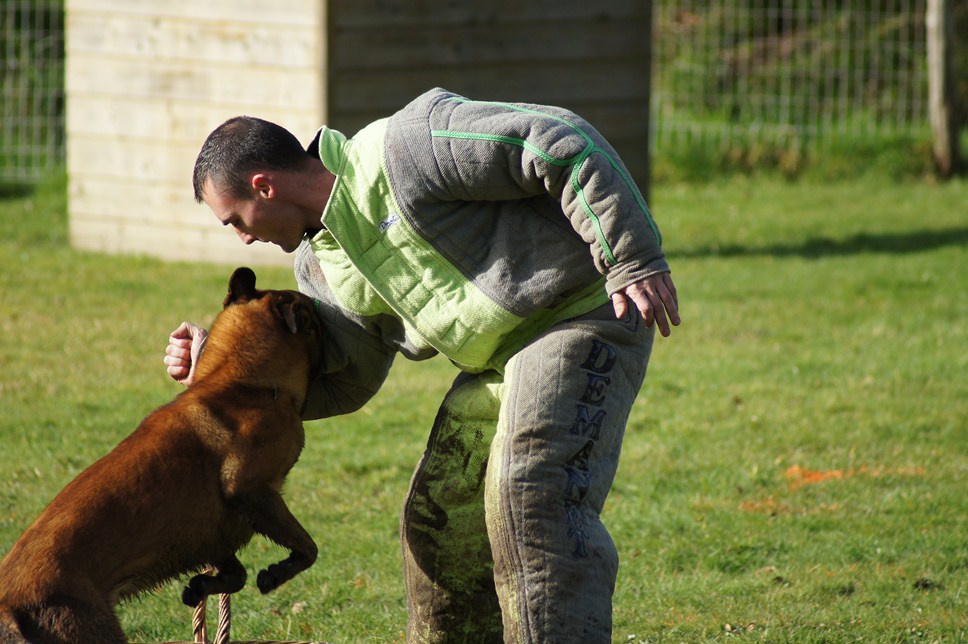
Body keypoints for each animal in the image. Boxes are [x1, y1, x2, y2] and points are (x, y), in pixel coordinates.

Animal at [0, 266, 326, 644]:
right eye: (312, 318)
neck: (241, 383)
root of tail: (8, 606)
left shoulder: (213, 533)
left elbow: (235, 573)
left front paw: (200, 586)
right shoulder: (250, 489)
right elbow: (307, 547)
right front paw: (276, 573)